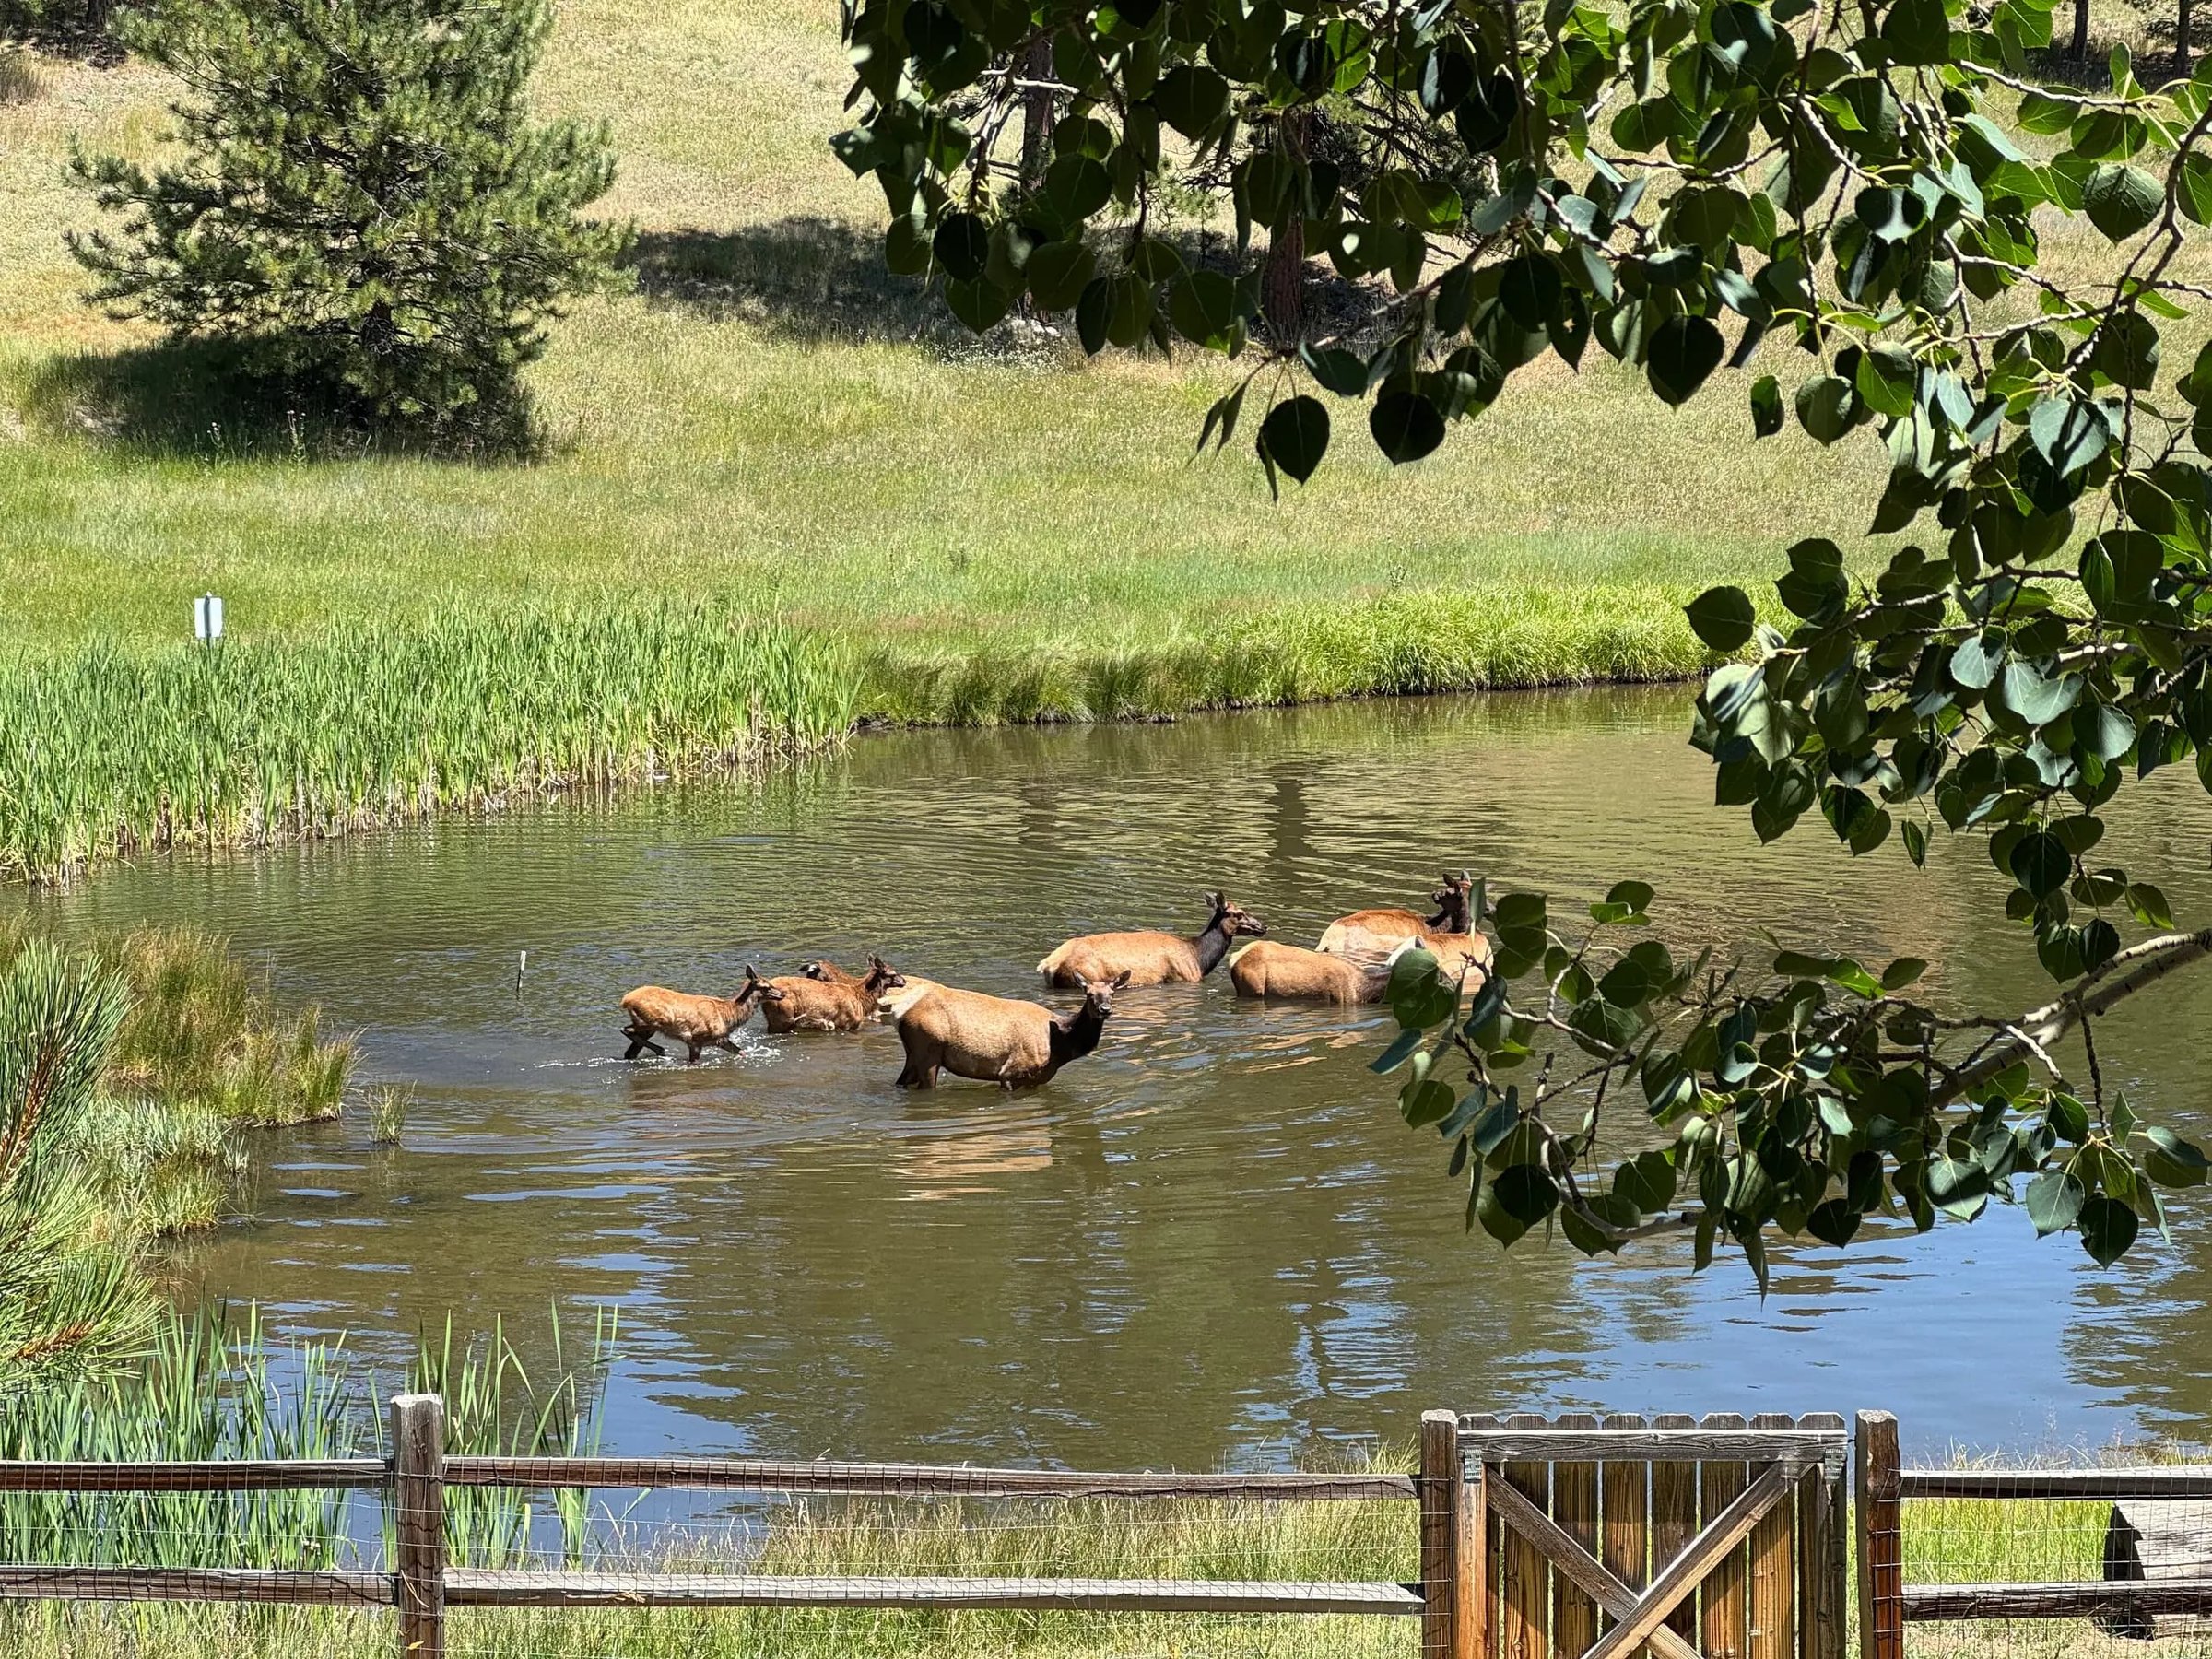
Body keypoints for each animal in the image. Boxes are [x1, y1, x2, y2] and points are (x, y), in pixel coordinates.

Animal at [619, 967, 786, 1062]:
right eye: (766, 986)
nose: (782, 993)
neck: (728, 1016)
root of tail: (625, 1000)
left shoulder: (720, 1039)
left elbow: (742, 1052)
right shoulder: (695, 1040)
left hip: (648, 1027)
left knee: (630, 1051)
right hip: (651, 1022)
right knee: (626, 1030)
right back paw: (661, 1050)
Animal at [893, 970, 1131, 1088]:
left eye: (1112, 993)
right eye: (1089, 994)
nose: (1105, 1009)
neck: (1062, 1046)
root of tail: (902, 1017)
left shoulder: (1037, 1079)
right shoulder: (1009, 1071)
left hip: (914, 1055)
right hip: (928, 1053)